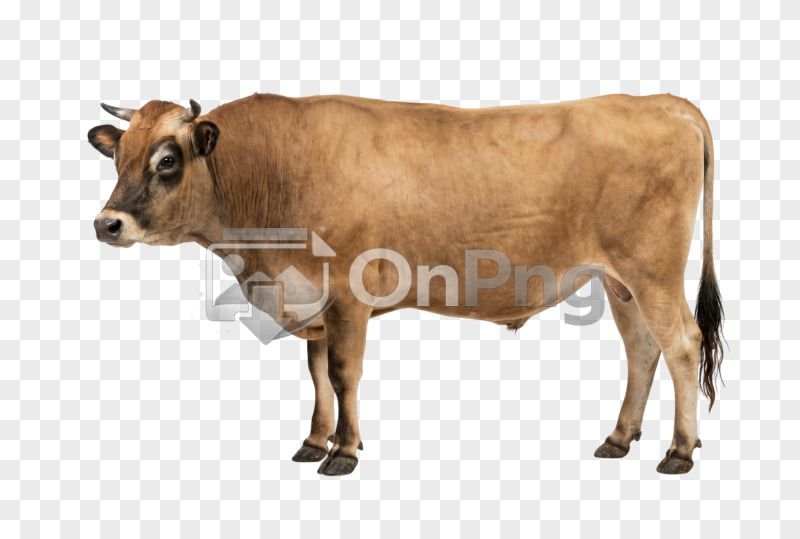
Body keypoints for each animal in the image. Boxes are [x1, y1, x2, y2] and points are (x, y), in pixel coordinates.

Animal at [89, 93, 724, 476]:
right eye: (119, 156)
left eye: (167, 160)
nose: (106, 224)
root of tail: (662, 103)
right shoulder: (314, 299)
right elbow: (316, 374)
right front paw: (314, 442)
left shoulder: (348, 294)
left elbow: (342, 374)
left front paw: (343, 452)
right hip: (619, 280)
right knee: (642, 349)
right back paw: (619, 438)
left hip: (653, 270)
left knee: (681, 345)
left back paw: (679, 450)